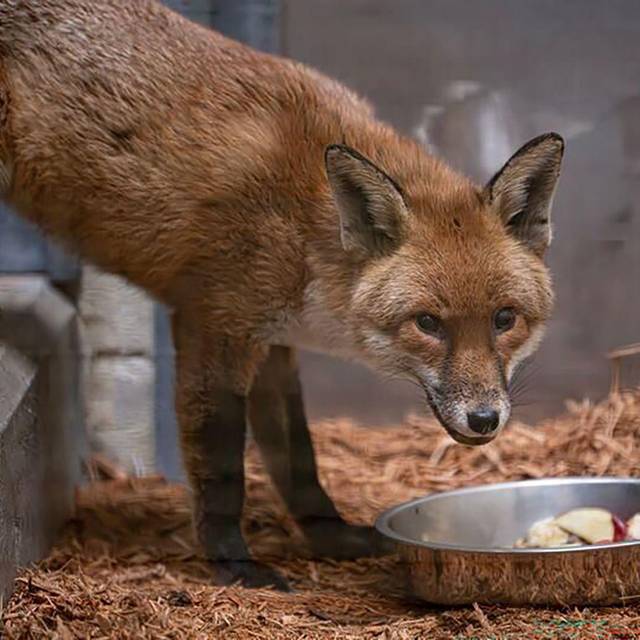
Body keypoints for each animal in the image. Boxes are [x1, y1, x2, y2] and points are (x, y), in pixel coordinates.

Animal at [0, 0, 563, 589]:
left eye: (504, 319)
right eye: (428, 323)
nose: (485, 419)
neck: (306, 227)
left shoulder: (274, 344)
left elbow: (299, 461)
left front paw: (331, 538)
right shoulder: (214, 326)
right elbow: (223, 467)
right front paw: (233, 563)